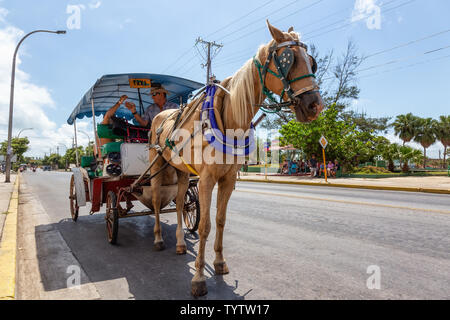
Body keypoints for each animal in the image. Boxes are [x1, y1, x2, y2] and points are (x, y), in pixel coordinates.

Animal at [149, 21, 322, 298]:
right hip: (156, 164)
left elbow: (220, 221)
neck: (228, 116)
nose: (315, 105)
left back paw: (179, 243)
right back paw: (157, 239)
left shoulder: (228, 179)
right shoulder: (207, 179)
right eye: (289, 59)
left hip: (182, 171)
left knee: (179, 204)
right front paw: (199, 278)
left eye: (312, 62)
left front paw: (219, 262)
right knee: (156, 202)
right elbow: (205, 226)